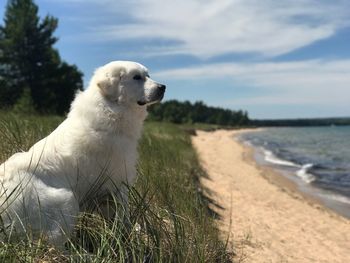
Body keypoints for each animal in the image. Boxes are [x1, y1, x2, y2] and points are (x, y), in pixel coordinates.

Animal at [0, 60, 165, 246]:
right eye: (137, 77)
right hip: (67, 201)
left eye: (148, 76)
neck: (110, 108)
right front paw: (129, 236)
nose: (163, 87)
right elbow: (124, 218)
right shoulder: (118, 184)